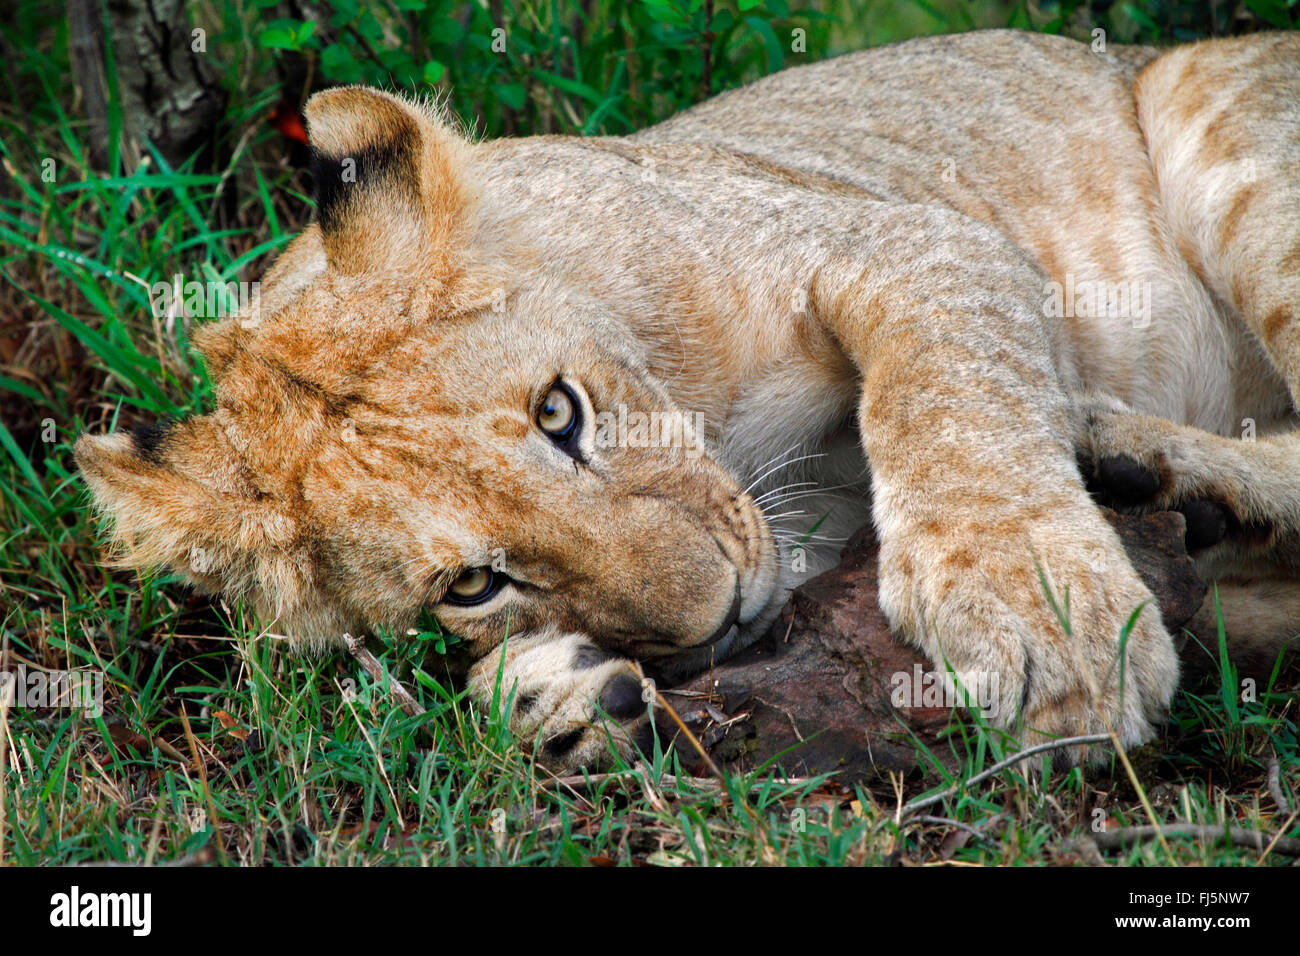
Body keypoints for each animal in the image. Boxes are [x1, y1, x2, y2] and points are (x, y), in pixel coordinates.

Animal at [76, 29, 1300, 771]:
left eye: (559, 412)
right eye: (472, 584)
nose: (716, 615)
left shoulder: (908, 236)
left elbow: (948, 405)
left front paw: (1049, 624)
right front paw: (556, 695)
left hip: (1213, 125)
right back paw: (1161, 479)